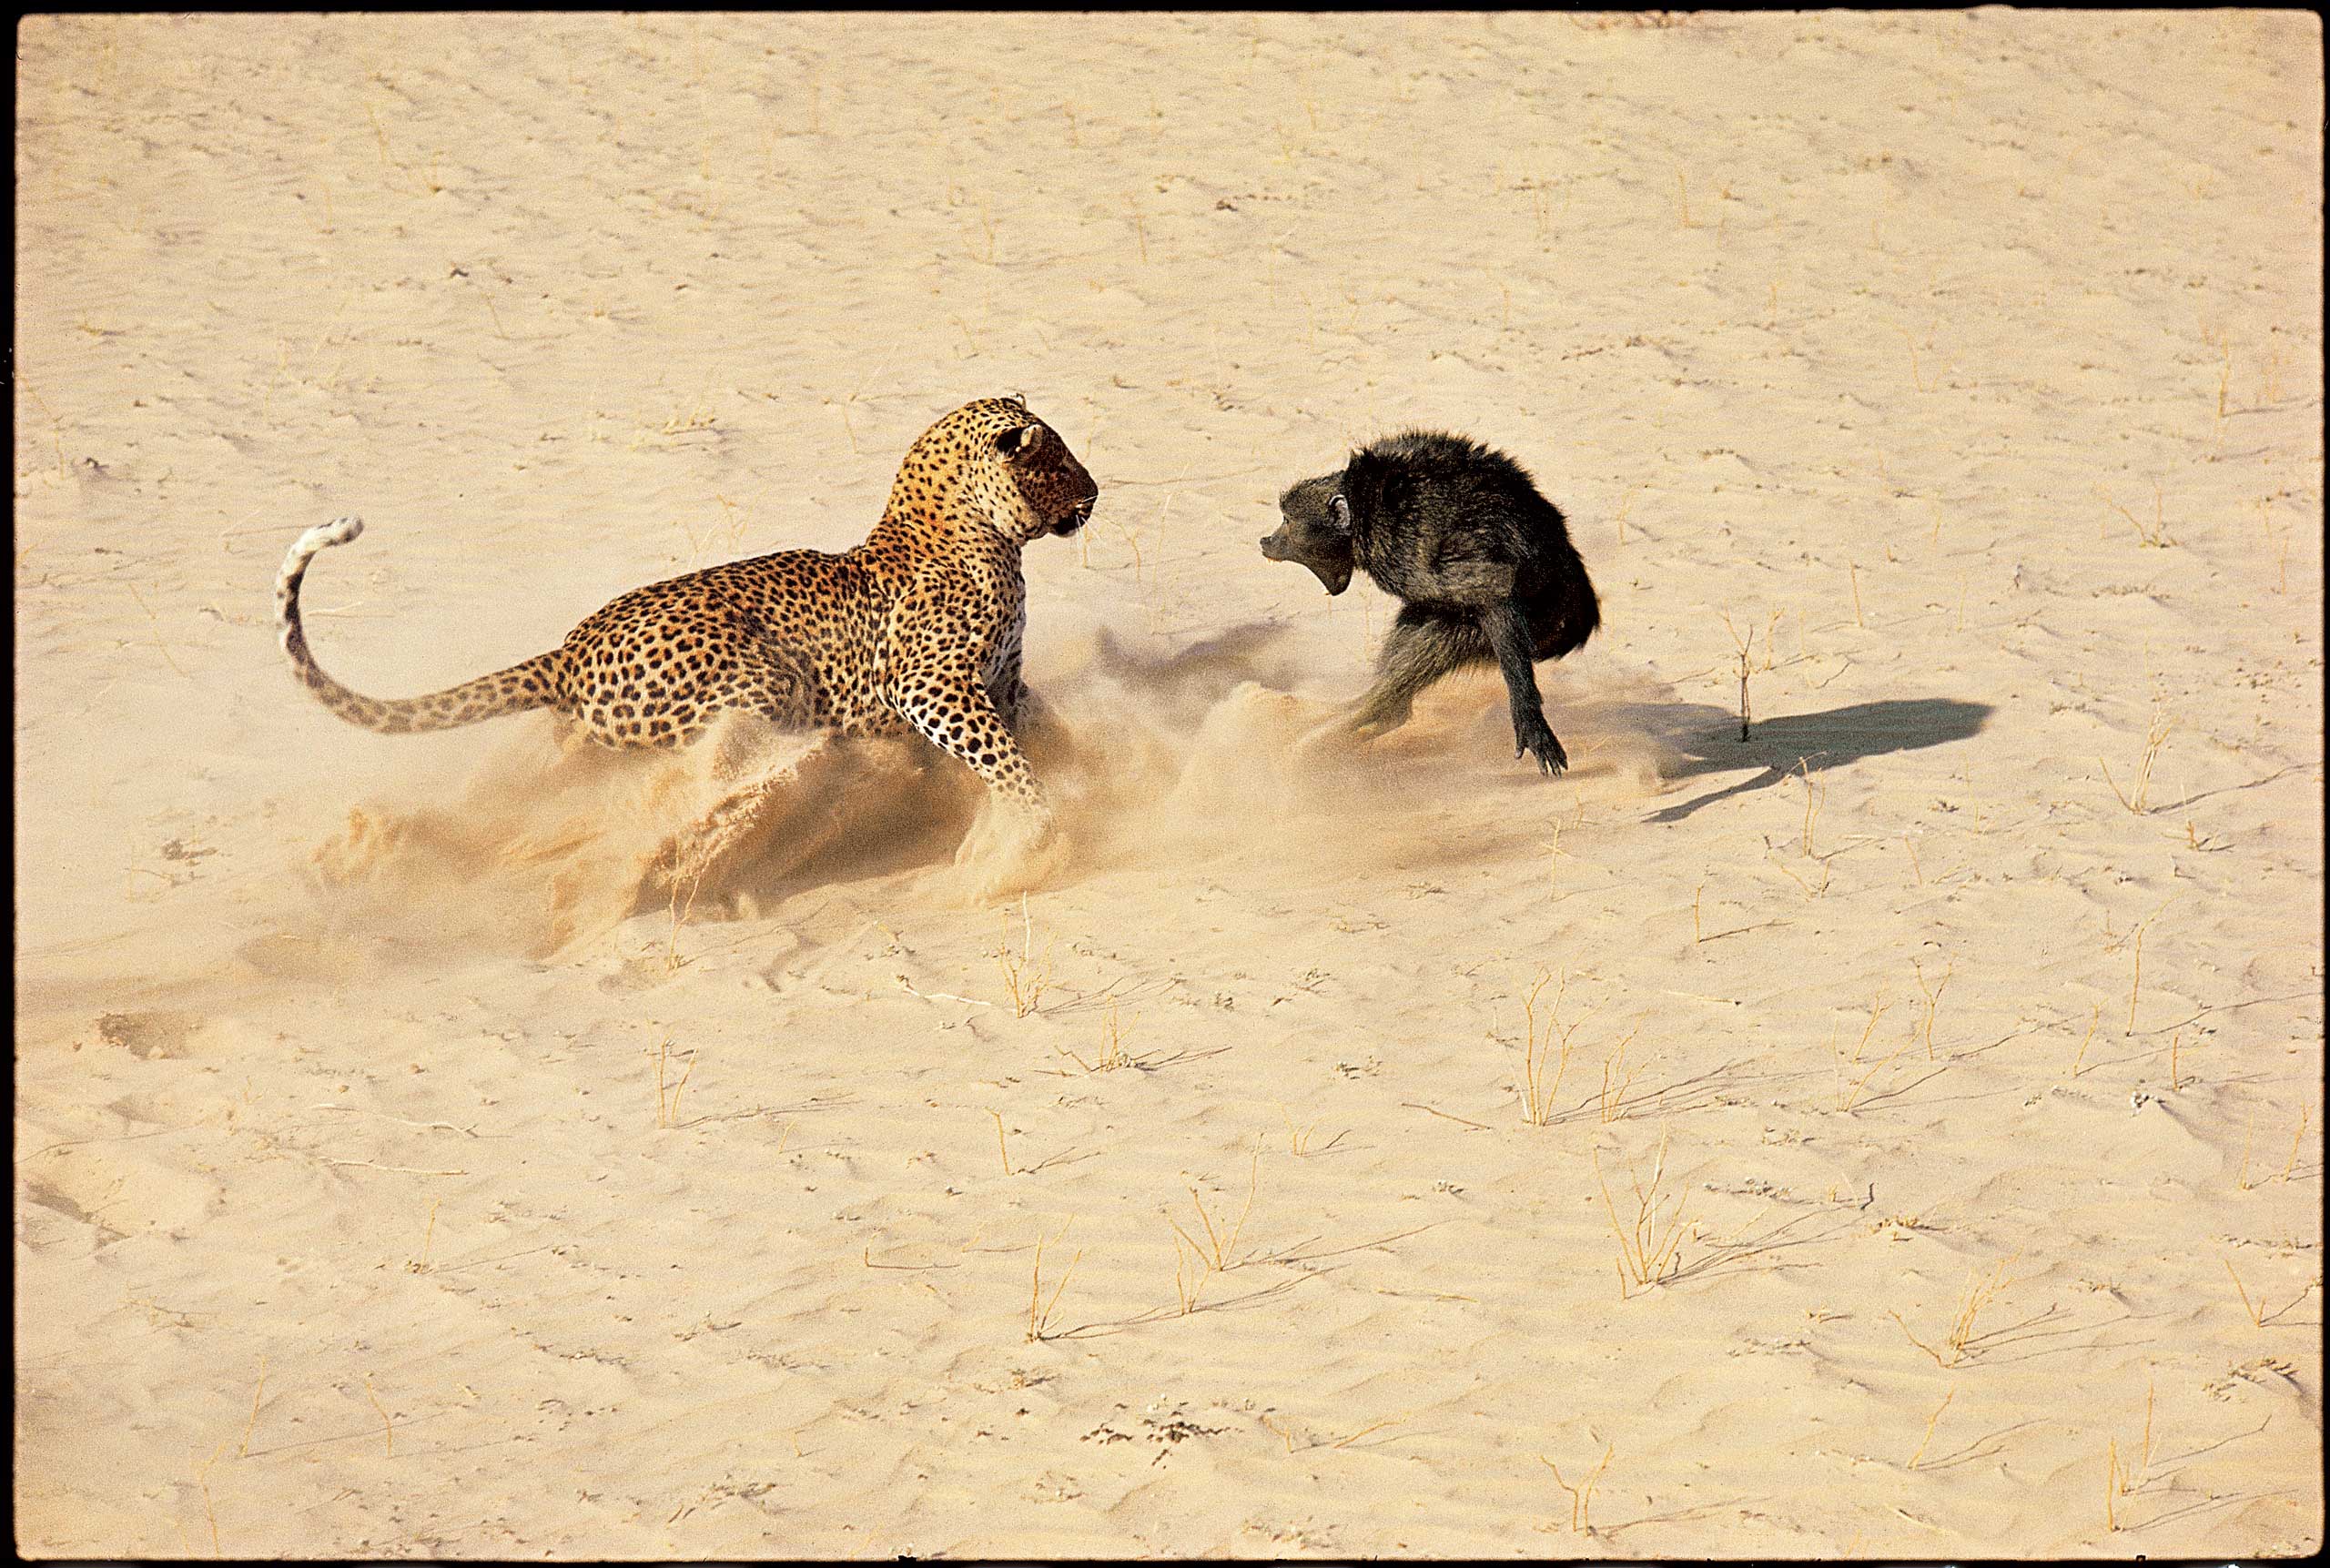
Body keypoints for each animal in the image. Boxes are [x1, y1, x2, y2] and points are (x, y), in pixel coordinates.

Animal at [276, 396, 1098, 837]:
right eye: (1057, 460)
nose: (1095, 493)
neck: (982, 533)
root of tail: (567, 650)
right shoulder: (930, 686)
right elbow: (1003, 756)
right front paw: (1039, 818)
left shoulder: (1003, 680)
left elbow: (1032, 727)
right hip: (763, 682)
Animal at [1259, 430, 1600, 775]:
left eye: (1287, 520)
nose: (1266, 541)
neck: (1364, 506)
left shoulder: (1405, 541)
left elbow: (1495, 590)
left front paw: (1529, 718)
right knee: (1420, 618)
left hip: (1543, 625)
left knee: (1447, 635)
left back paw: (1340, 734)